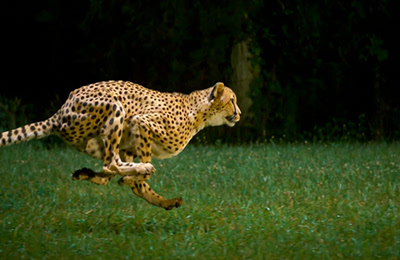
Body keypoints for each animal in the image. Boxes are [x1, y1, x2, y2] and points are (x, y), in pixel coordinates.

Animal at [0, 80, 241, 210]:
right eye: (232, 100)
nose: (239, 113)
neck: (199, 112)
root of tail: (59, 113)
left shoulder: (130, 144)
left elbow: (138, 184)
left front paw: (161, 199)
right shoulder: (141, 123)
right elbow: (141, 178)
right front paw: (135, 176)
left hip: (98, 140)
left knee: (108, 168)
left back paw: (86, 173)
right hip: (115, 108)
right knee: (110, 164)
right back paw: (136, 170)